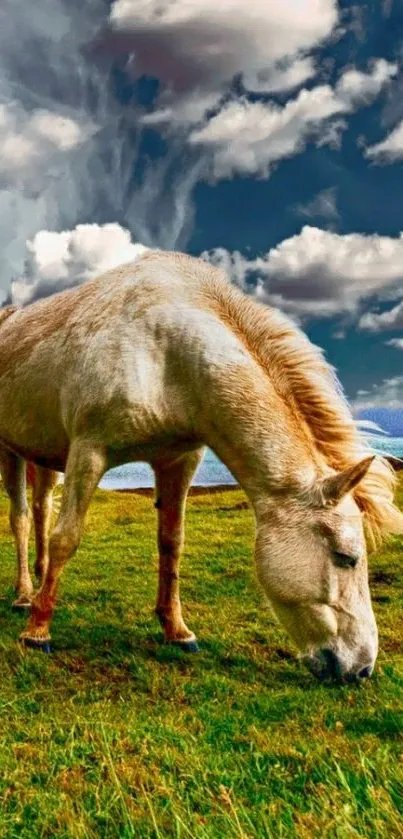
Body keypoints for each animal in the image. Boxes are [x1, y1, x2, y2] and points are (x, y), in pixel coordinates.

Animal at [0, 251, 403, 684]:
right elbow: (67, 538)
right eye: (346, 557)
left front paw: (176, 629)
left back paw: (38, 583)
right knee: (22, 519)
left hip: (45, 457)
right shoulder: (89, 452)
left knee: (41, 510)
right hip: (11, 450)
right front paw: (37, 632)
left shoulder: (179, 460)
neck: (166, 353)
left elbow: (171, 544)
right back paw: (24, 596)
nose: (362, 668)